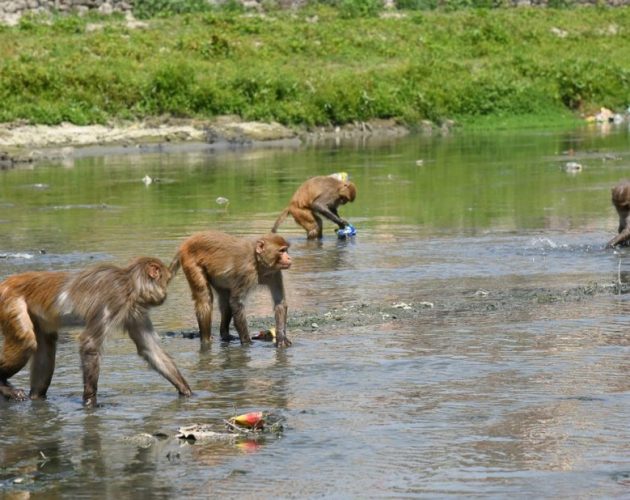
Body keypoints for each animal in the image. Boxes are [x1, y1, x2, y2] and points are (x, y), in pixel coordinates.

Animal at [0, 256, 193, 404]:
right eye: (166, 280)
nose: (165, 294)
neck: (130, 284)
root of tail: (6, 282)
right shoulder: (115, 297)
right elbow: (90, 343)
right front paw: (90, 401)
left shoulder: (134, 312)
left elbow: (149, 349)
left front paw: (186, 391)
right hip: (11, 300)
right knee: (26, 341)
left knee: (46, 346)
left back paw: (36, 398)